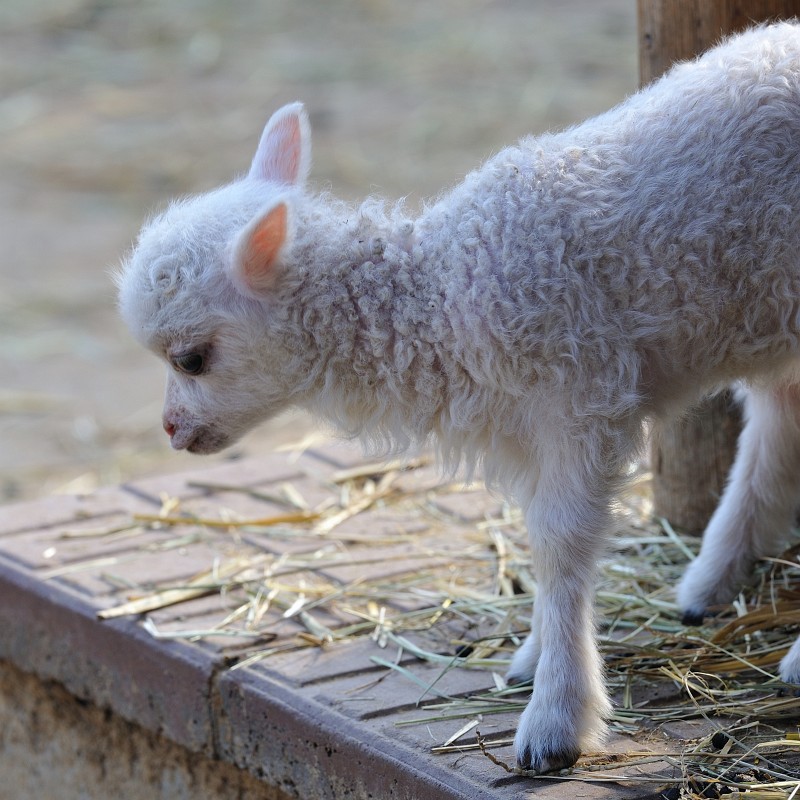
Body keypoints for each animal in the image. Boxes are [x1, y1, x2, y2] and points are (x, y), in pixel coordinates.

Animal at [117, 23, 800, 776]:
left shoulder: (581, 396)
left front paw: (557, 719)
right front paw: (535, 656)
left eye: (191, 358)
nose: (172, 430)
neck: (446, 297)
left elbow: (561, 544)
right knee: (780, 414)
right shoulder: (532, 426)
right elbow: (543, 539)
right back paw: (711, 582)